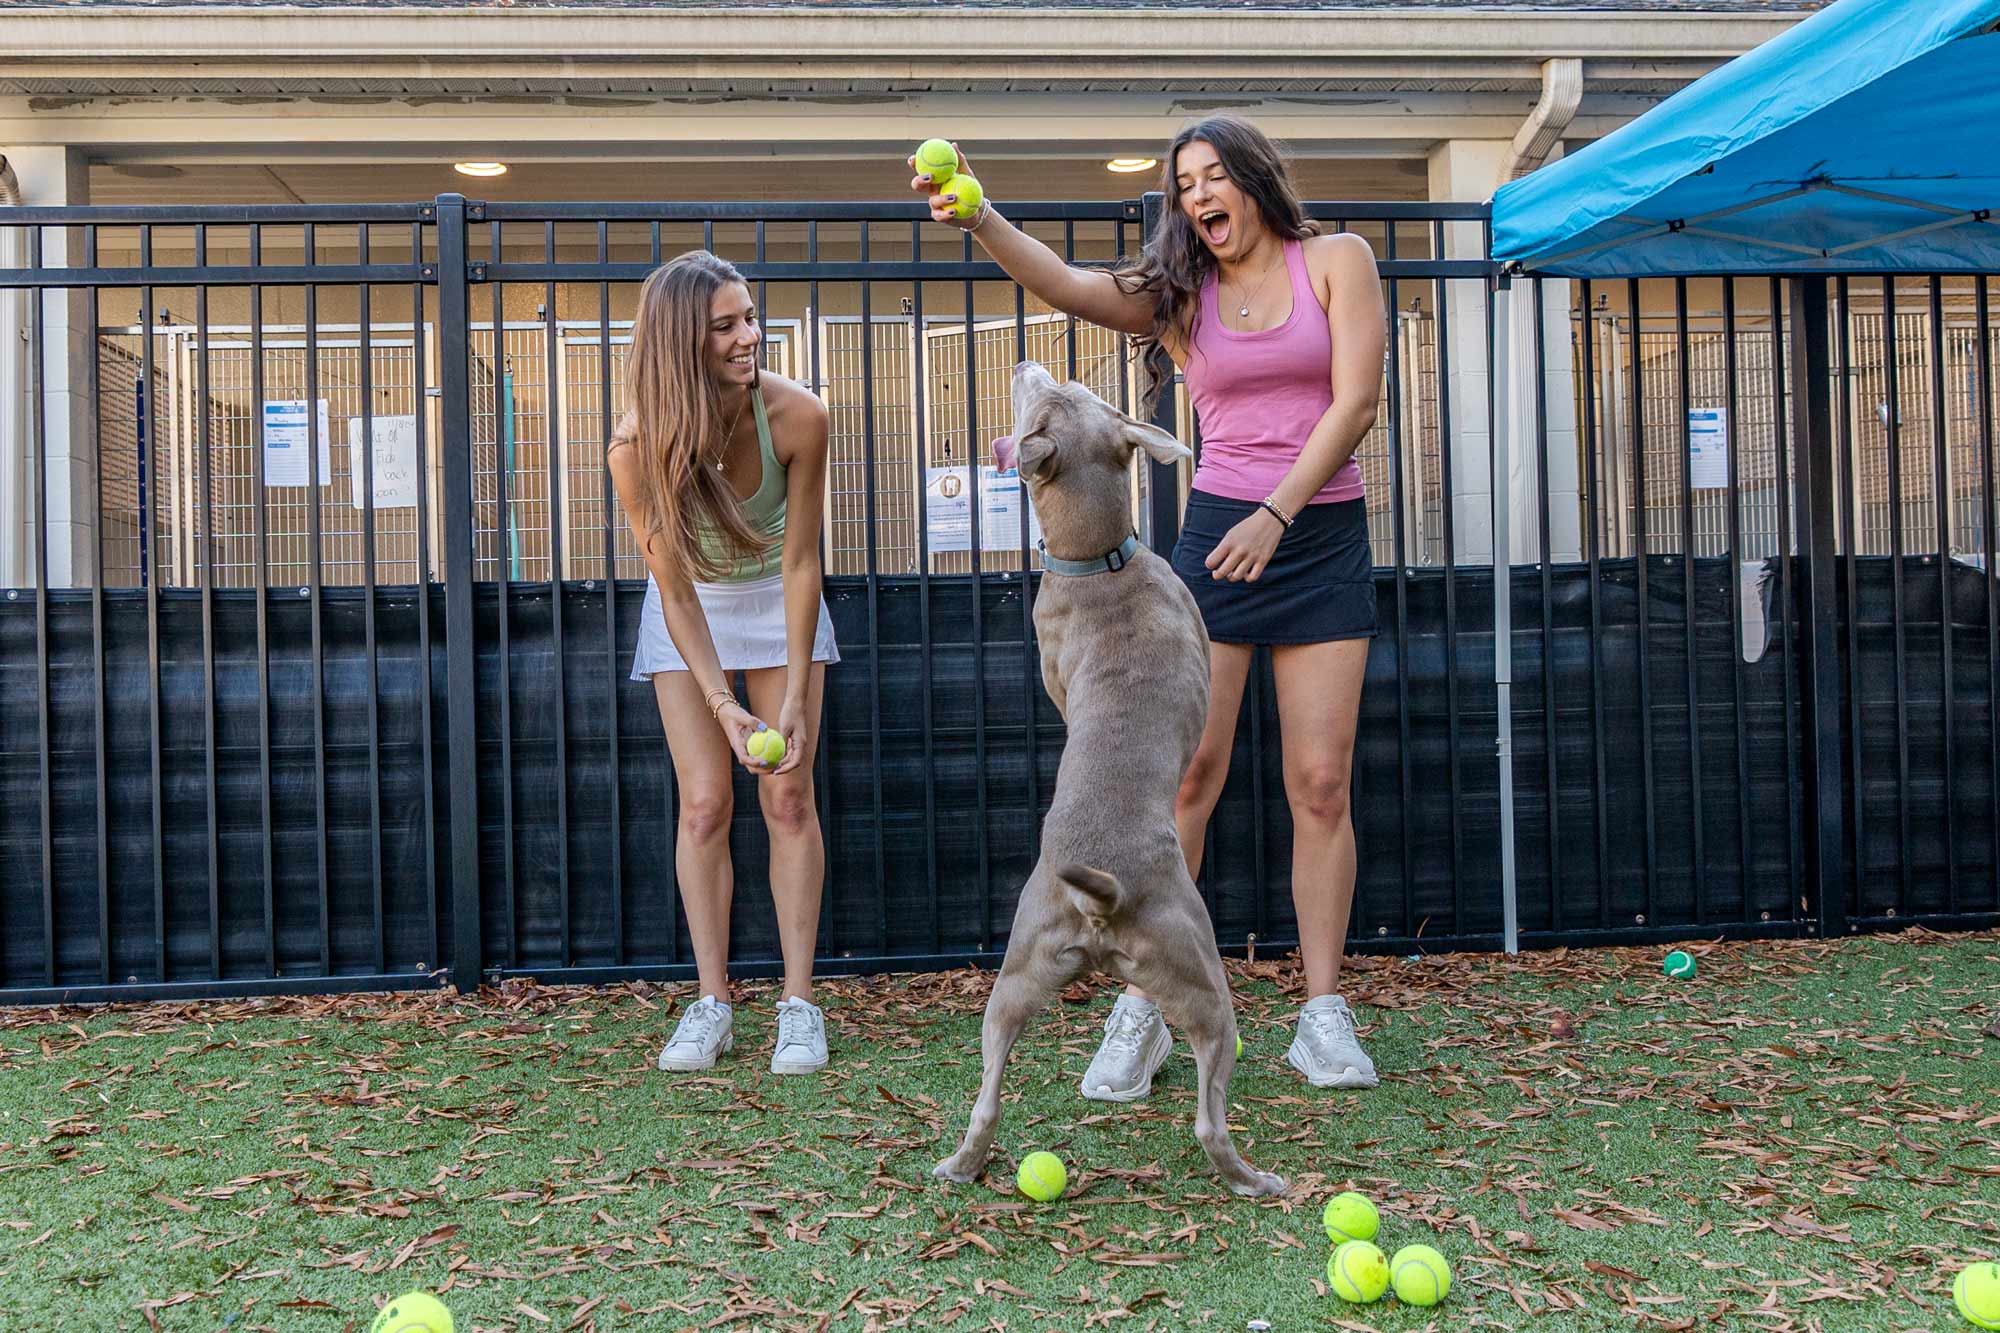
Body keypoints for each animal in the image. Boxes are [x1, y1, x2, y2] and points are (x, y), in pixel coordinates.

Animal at [932, 360, 1288, 1192]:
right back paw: (1253, 1178)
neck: (1099, 560)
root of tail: (1102, 901)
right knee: (1209, 1116)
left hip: (1014, 978)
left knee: (987, 1097)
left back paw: (961, 1164)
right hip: (1203, 978)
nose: (1026, 364)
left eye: (1062, 393)